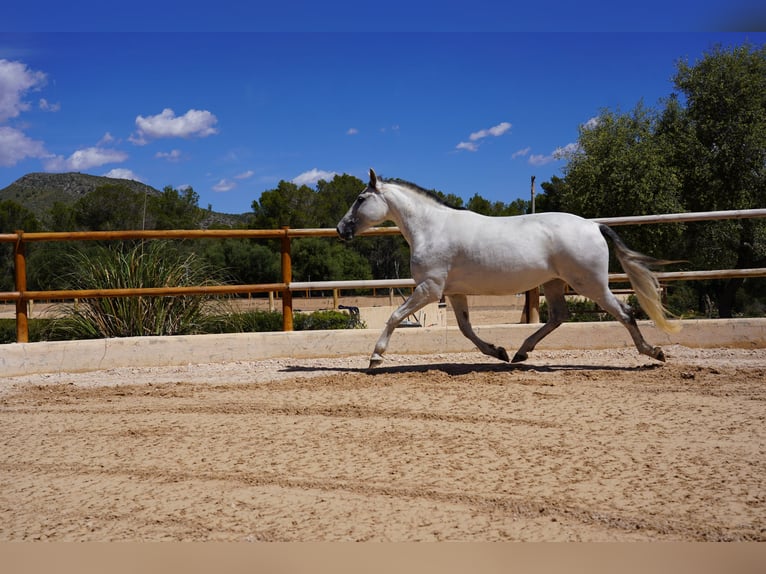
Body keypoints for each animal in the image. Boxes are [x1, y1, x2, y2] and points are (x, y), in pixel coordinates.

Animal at [340, 170, 680, 368]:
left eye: (360, 199)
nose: (342, 228)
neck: (431, 228)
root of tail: (594, 225)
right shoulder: (454, 293)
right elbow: (466, 329)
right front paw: (498, 351)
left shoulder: (429, 289)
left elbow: (394, 316)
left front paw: (375, 357)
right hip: (555, 283)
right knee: (559, 316)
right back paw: (520, 353)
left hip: (590, 284)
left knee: (625, 312)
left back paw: (654, 353)